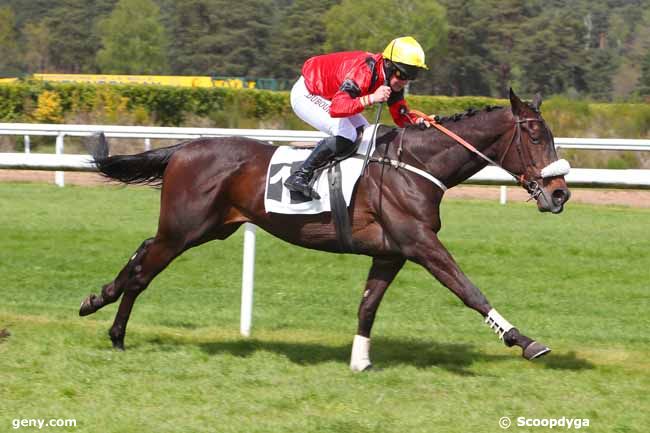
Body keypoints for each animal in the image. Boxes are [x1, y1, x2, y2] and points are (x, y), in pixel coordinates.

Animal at [79, 89, 568, 370]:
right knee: (144, 272)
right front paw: (525, 341)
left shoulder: (391, 251)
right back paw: (116, 334)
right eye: (536, 136)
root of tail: (182, 149)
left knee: (142, 252)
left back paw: (96, 301)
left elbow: (368, 305)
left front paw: (360, 361)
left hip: (207, 228)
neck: (414, 165)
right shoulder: (420, 243)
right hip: (184, 230)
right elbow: (469, 290)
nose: (560, 192)